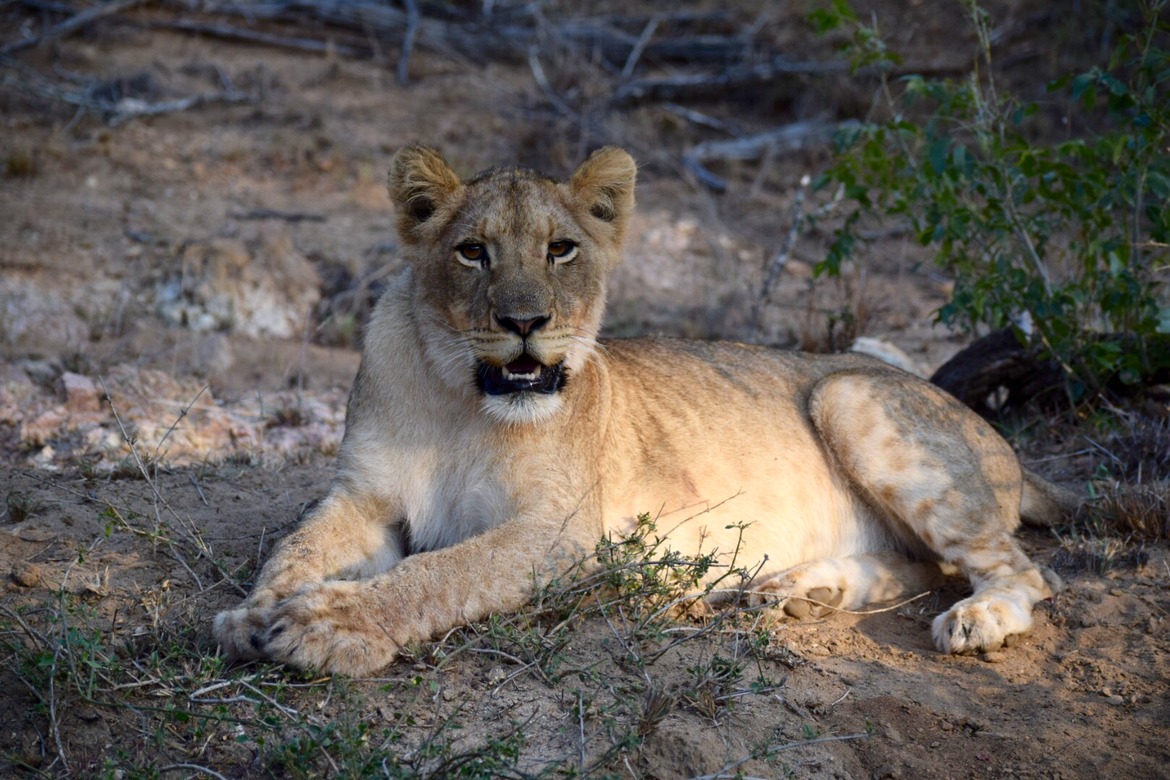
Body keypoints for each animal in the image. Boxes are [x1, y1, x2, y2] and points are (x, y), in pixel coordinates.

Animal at [213, 145, 1078, 676]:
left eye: (561, 249)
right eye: (473, 251)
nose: (525, 322)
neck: (461, 394)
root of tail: (1004, 446)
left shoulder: (557, 534)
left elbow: (441, 570)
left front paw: (330, 625)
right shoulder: (363, 497)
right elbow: (295, 547)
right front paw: (250, 616)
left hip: (849, 392)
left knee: (1019, 570)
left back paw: (977, 619)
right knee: (918, 564)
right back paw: (798, 590)